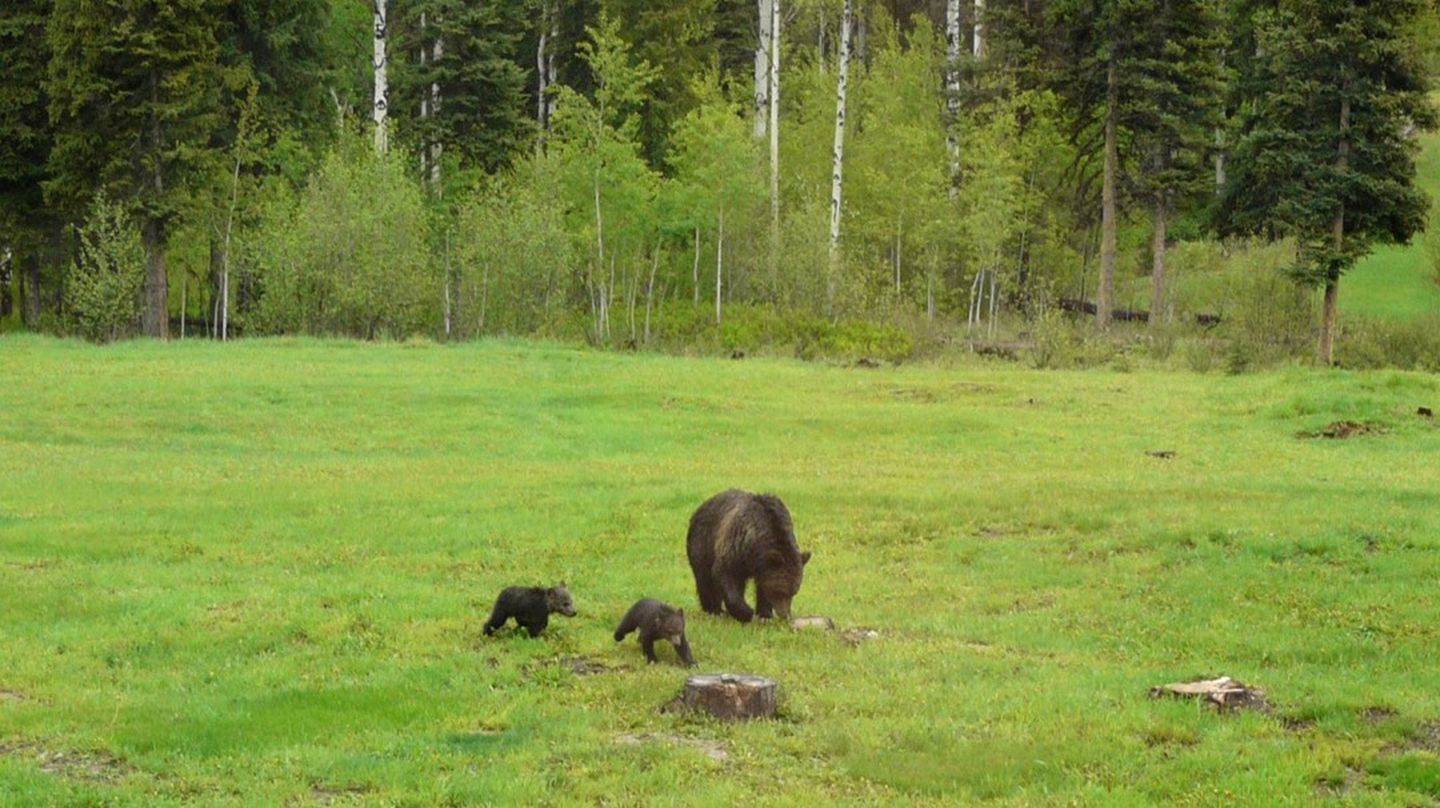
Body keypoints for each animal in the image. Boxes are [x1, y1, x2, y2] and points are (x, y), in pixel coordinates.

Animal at [685, 483, 812, 625]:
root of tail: (702, 506)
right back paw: (714, 610)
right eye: (780, 591)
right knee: (704, 577)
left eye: (794, 592)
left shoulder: (762, 565)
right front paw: (747, 612)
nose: (785, 615)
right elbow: (726, 573)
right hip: (704, 542)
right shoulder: (736, 547)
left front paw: (765, 614)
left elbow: (762, 586)